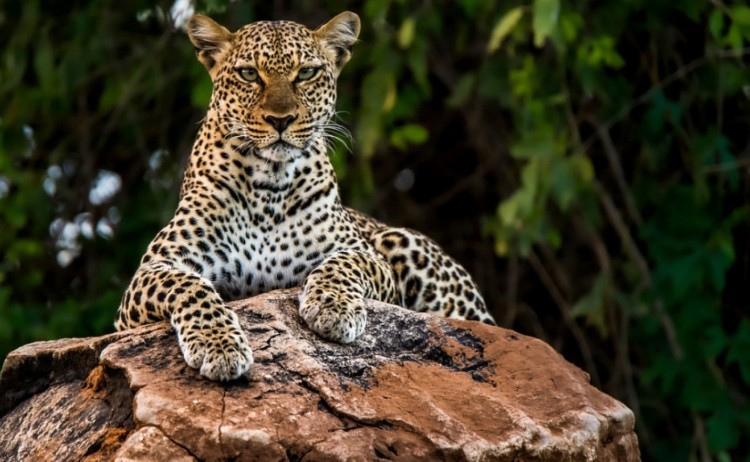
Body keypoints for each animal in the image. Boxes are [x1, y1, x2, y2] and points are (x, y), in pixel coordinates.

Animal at [114, 11, 495, 381]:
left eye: (306, 73)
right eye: (249, 74)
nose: (280, 120)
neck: (269, 185)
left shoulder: (366, 255)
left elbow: (342, 264)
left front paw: (333, 307)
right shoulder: (152, 272)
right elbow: (189, 286)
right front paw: (219, 345)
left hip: (401, 241)